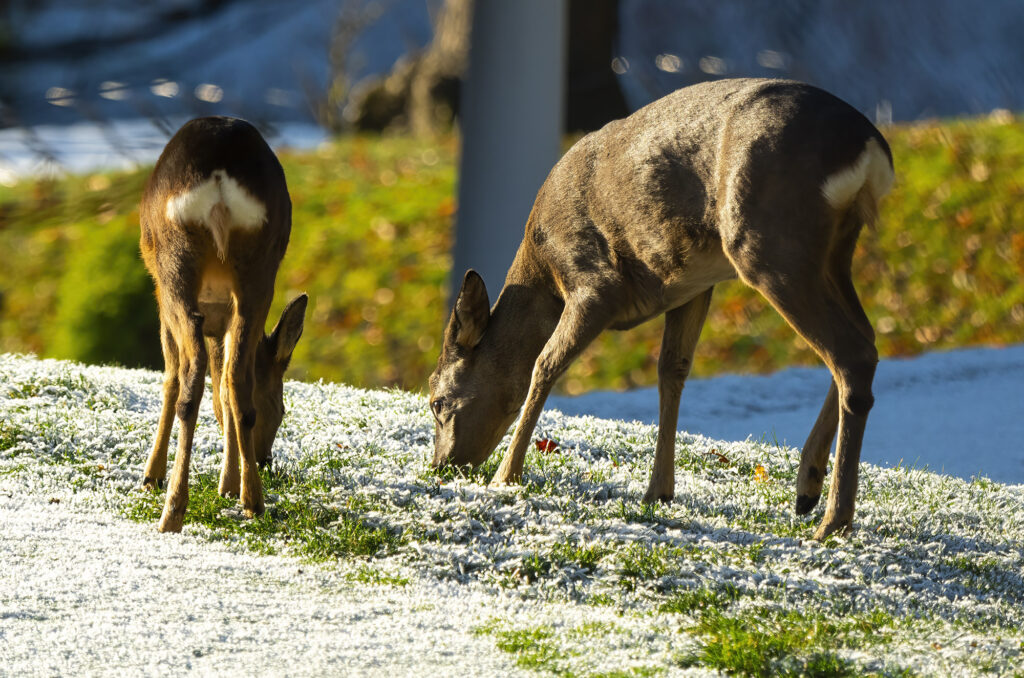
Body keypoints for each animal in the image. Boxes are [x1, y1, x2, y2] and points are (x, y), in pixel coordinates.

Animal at [141, 116, 307, 532]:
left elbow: (170, 377)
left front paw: (150, 475)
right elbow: (224, 389)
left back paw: (172, 509)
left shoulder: (161, 303)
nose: (265, 459)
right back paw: (252, 500)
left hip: (173, 264)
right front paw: (229, 485)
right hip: (259, 268)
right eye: (282, 407)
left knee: (190, 377)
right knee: (235, 379)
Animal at [428, 78, 892, 540]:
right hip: (835, 250)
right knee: (866, 340)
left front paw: (504, 477)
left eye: (437, 401)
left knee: (851, 354)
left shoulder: (595, 282)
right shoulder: (692, 287)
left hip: (770, 241)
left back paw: (833, 520)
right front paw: (658, 492)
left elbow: (544, 364)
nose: (442, 466)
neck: (544, 270)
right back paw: (807, 489)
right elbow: (672, 370)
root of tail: (869, 144)